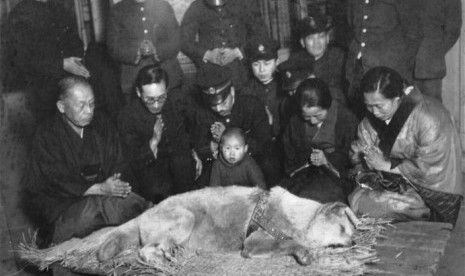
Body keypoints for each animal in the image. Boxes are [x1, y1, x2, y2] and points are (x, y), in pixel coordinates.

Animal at [96, 185, 358, 266]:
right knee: (144, 250)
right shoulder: (254, 242)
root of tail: (144, 213)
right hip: (185, 218)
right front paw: (304, 253)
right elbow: (290, 243)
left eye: (351, 230)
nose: (354, 241)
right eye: (342, 229)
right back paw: (163, 259)